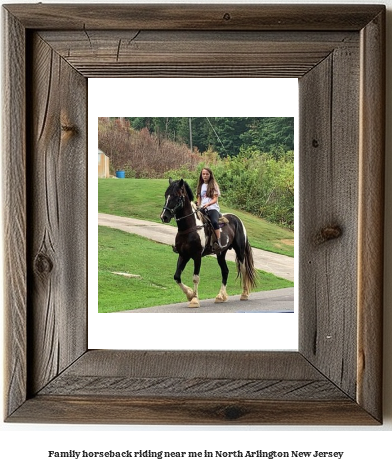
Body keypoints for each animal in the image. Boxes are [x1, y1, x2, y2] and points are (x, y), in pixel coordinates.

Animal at [160, 178, 258, 308]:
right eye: (166, 195)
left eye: (176, 197)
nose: (164, 217)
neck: (190, 228)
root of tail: (238, 220)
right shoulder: (183, 255)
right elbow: (177, 276)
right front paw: (190, 294)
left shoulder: (197, 256)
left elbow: (195, 277)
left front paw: (194, 300)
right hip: (221, 253)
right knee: (225, 271)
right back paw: (220, 296)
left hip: (240, 251)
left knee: (243, 269)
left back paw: (244, 294)